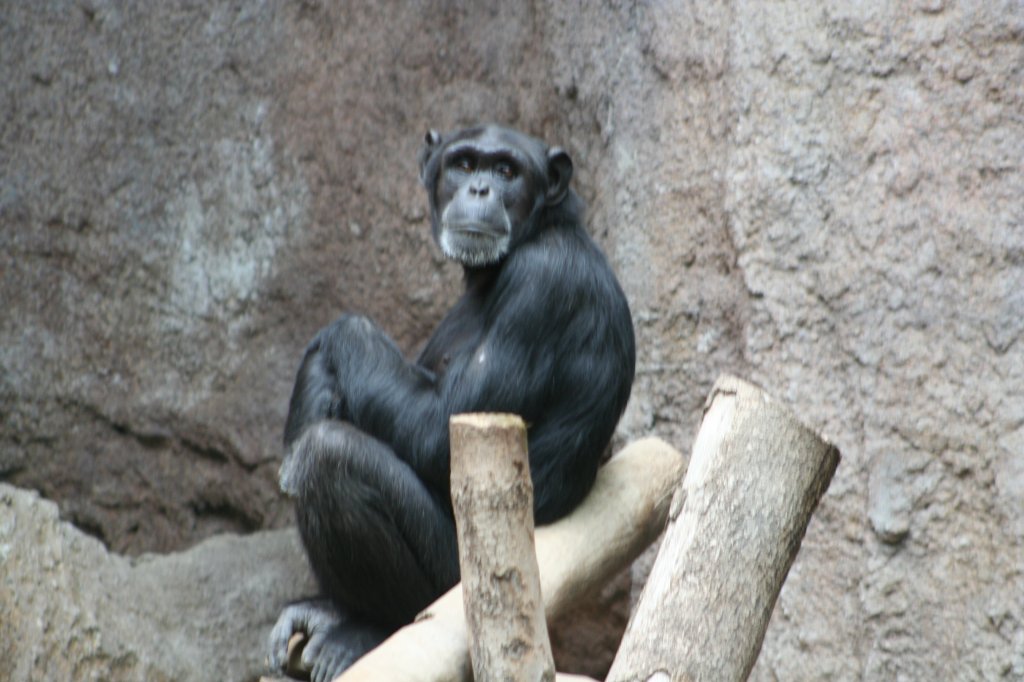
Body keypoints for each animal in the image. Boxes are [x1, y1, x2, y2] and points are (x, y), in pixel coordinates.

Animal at [266, 123, 630, 679]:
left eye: (506, 170)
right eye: (463, 164)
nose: (479, 188)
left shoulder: (544, 283)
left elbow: (441, 424)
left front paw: (326, 350)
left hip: (450, 579)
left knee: (330, 457)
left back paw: (362, 627)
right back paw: (327, 610)